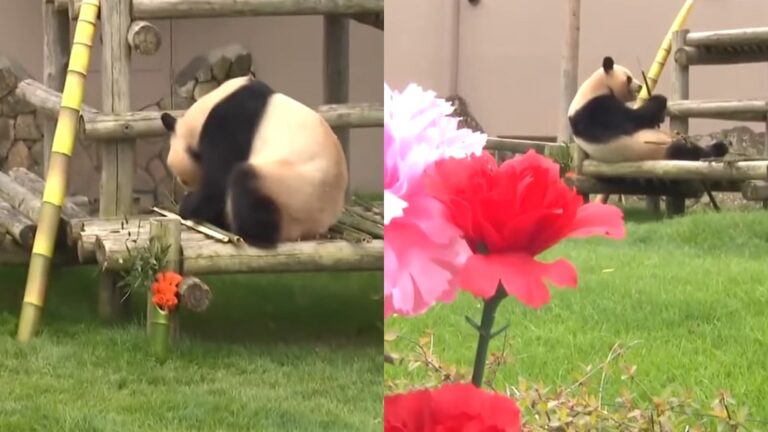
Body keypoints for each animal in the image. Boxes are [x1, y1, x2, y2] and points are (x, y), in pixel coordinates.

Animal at [160, 76, 350, 248]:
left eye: (185, 181)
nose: (187, 190)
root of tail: (317, 227)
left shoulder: (229, 125)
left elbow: (217, 183)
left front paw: (187, 207)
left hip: (296, 190)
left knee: (246, 183)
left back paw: (248, 232)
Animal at [568, 55, 728, 164]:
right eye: (629, 78)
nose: (640, 86)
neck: (595, 87)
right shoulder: (594, 110)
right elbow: (631, 119)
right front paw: (659, 99)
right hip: (656, 149)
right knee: (684, 150)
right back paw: (715, 149)